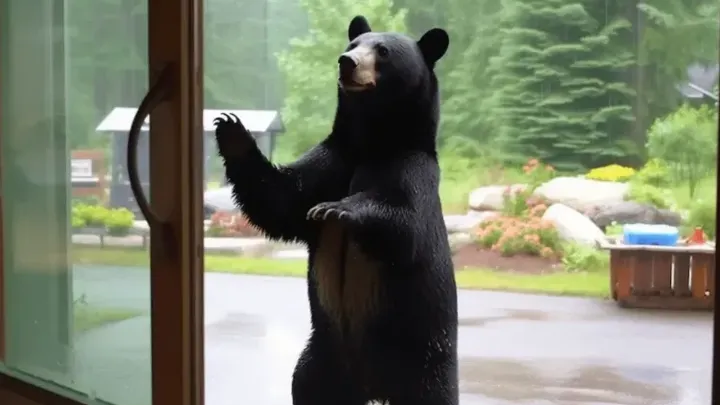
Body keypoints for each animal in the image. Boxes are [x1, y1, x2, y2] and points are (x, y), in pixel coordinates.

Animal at [213, 15, 458, 405]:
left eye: (382, 51)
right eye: (354, 43)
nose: (347, 62)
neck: (371, 142)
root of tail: (372, 386)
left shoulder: (413, 169)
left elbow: (405, 226)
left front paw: (336, 210)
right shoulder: (332, 162)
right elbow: (282, 201)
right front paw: (233, 132)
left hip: (423, 359)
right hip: (322, 360)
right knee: (308, 386)